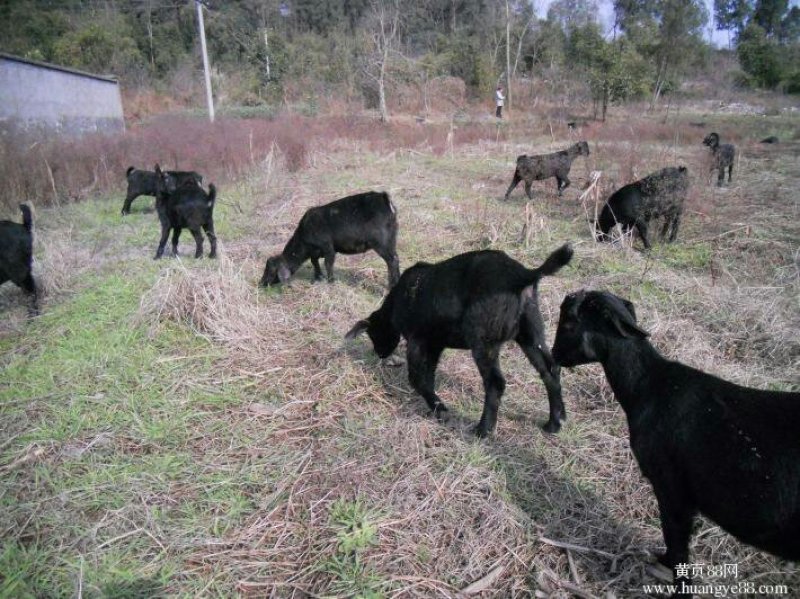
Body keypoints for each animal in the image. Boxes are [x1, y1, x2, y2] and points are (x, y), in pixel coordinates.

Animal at [260, 190, 400, 288]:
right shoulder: (316, 251)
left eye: (270, 271)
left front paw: (330, 281)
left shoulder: (327, 247)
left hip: (381, 242)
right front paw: (318, 277)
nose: (261, 283)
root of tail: (384, 198)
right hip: (391, 239)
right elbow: (314, 261)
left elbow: (328, 263)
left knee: (392, 260)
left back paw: (391, 285)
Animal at [346, 244, 572, 436]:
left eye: (374, 333)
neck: (397, 301)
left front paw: (440, 409)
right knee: (550, 371)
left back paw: (483, 430)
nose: (381, 354)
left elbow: (417, 379)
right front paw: (435, 407)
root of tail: (521, 275)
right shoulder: (434, 344)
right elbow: (428, 376)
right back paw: (554, 423)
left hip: (483, 340)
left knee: (495, 383)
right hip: (531, 332)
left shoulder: (417, 340)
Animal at [552, 290, 800, 592]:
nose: (553, 355)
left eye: (568, 323)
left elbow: (676, 539)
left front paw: (667, 567)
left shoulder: (671, 486)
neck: (649, 386)